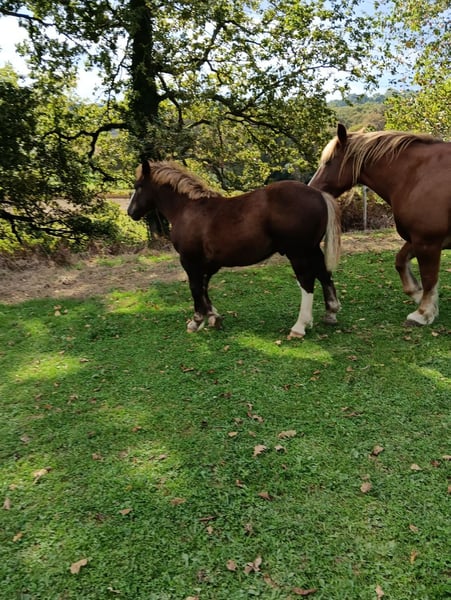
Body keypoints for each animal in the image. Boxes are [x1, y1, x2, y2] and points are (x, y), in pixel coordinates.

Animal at [127, 160, 341, 337]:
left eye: (138, 187)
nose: (130, 212)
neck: (188, 209)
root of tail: (319, 194)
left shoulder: (190, 260)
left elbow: (195, 288)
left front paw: (196, 321)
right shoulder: (209, 263)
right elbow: (204, 287)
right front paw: (213, 317)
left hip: (298, 253)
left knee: (307, 281)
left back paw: (300, 326)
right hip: (312, 249)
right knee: (324, 274)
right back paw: (331, 312)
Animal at [309, 123, 451, 327]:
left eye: (328, 162)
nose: (312, 189)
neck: (418, 175)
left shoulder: (427, 241)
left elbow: (429, 278)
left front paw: (423, 313)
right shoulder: (418, 239)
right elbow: (400, 262)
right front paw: (417, 294)